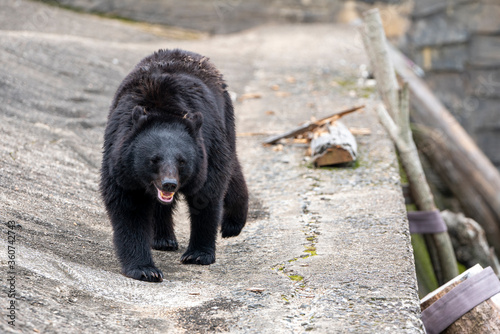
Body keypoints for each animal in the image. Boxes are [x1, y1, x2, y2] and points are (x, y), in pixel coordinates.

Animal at [100, 49, 249, 282]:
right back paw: (163, 239)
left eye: (182, 161)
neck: (163, 110)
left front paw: (198, 254)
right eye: (154, 159)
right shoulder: (120, 161)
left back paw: (233, 223)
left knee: (231, 166)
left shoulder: (207, 146)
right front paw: (145, 269)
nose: (169, 183)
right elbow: (128, 208)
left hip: (225, 121)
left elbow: (206, 195)